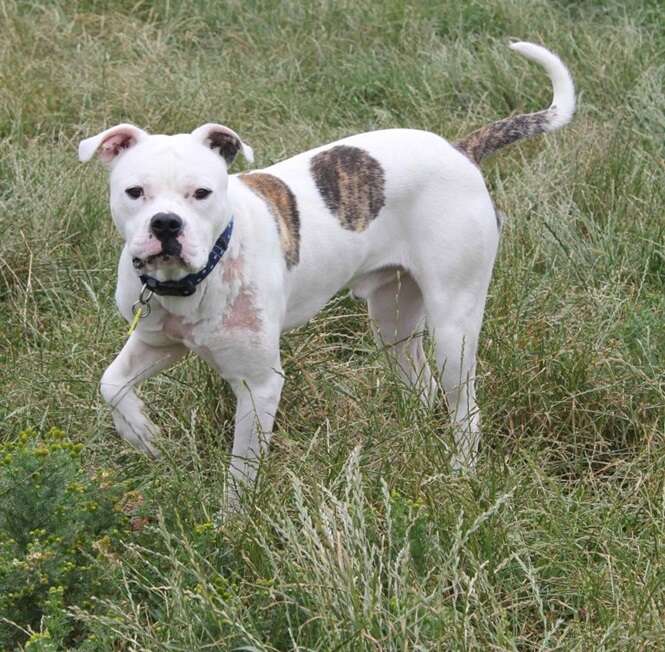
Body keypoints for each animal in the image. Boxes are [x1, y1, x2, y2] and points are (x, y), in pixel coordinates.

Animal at [80, 42, 572, 504]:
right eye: (134, 192)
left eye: (201, 193)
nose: (166, 224)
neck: (196, 277)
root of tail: (459, 151)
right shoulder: (157, 343)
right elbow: (110, 384)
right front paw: (142, 434)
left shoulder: (259, 385)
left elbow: (241, 474)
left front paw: (232, 522)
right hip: (393, 319)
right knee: (421, 382)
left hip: (454, 327)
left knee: (464, 406)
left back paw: (461, 473)